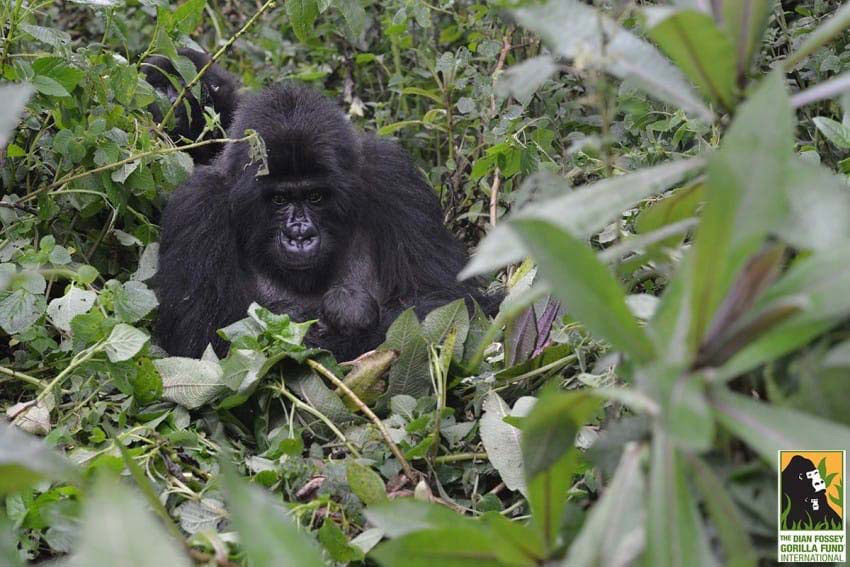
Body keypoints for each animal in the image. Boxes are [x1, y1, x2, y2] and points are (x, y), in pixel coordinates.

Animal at [156, 83, 494, 360]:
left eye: (315, 196)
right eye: (279, 200)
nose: (300, 235)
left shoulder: (395, 177)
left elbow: (446, 299)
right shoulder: (196, 207)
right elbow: (203, 339)